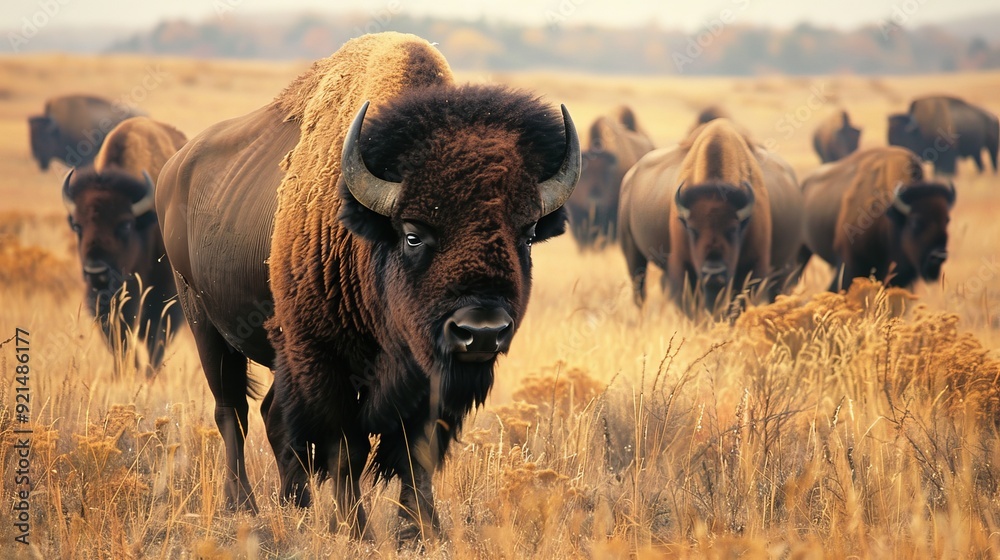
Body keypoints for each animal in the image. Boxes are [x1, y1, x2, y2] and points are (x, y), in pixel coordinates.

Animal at [61, 116, 188, 374]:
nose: (96, 272)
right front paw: (125, 371)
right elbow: (118, 331)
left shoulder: (163, 290)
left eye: (125, 225)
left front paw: (148, 373)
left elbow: (154, 331)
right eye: (78, 226)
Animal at [154, 32, 580, 540]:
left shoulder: (428, 380)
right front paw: (354, 528)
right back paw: (245, 507)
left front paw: (422, 529)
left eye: (528, 234)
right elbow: (345, 447)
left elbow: (418, 450)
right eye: (413, 234)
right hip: (206, 326)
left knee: (270, 415)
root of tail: (173, 170)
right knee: (232, 413)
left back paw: (294, 504)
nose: (481, 331)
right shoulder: (324, 359)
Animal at [616, 118, 804, 316]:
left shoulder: (754, 265)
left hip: (785, 266)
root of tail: (630, 176)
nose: (713, 272)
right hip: (632, 252)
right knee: (640, 291)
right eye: (692, 229)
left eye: (733, 229)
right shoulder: (683, 267)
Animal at [796, 144, 952, 290]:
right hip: (801, 253)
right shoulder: (850, 265)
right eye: (915, 221)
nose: (938, 257)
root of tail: (803, 185)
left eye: (947, 220)